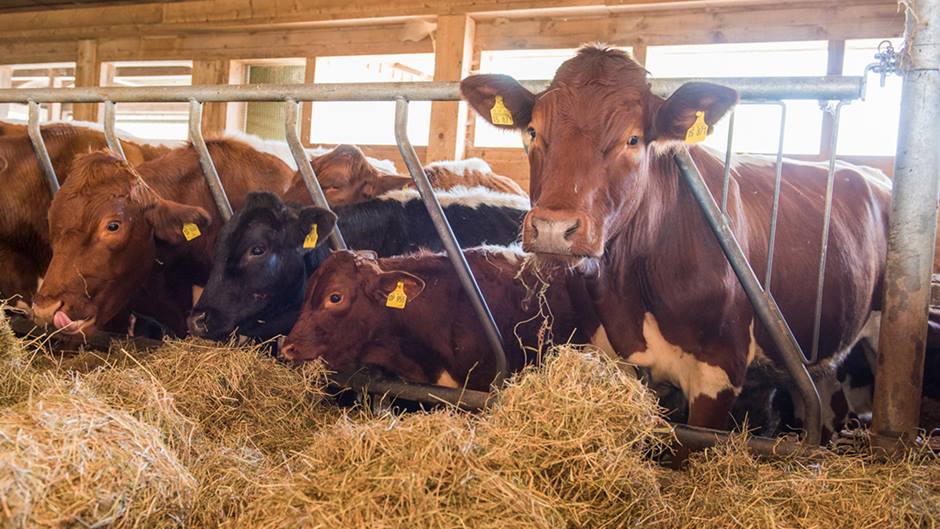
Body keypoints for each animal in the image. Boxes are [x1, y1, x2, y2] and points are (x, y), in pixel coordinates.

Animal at [461, 45, 890, 448]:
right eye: (533, 131)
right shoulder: (615, 357)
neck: (629, 292)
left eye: (633, 139)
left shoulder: (718, 374)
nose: (553, 227)